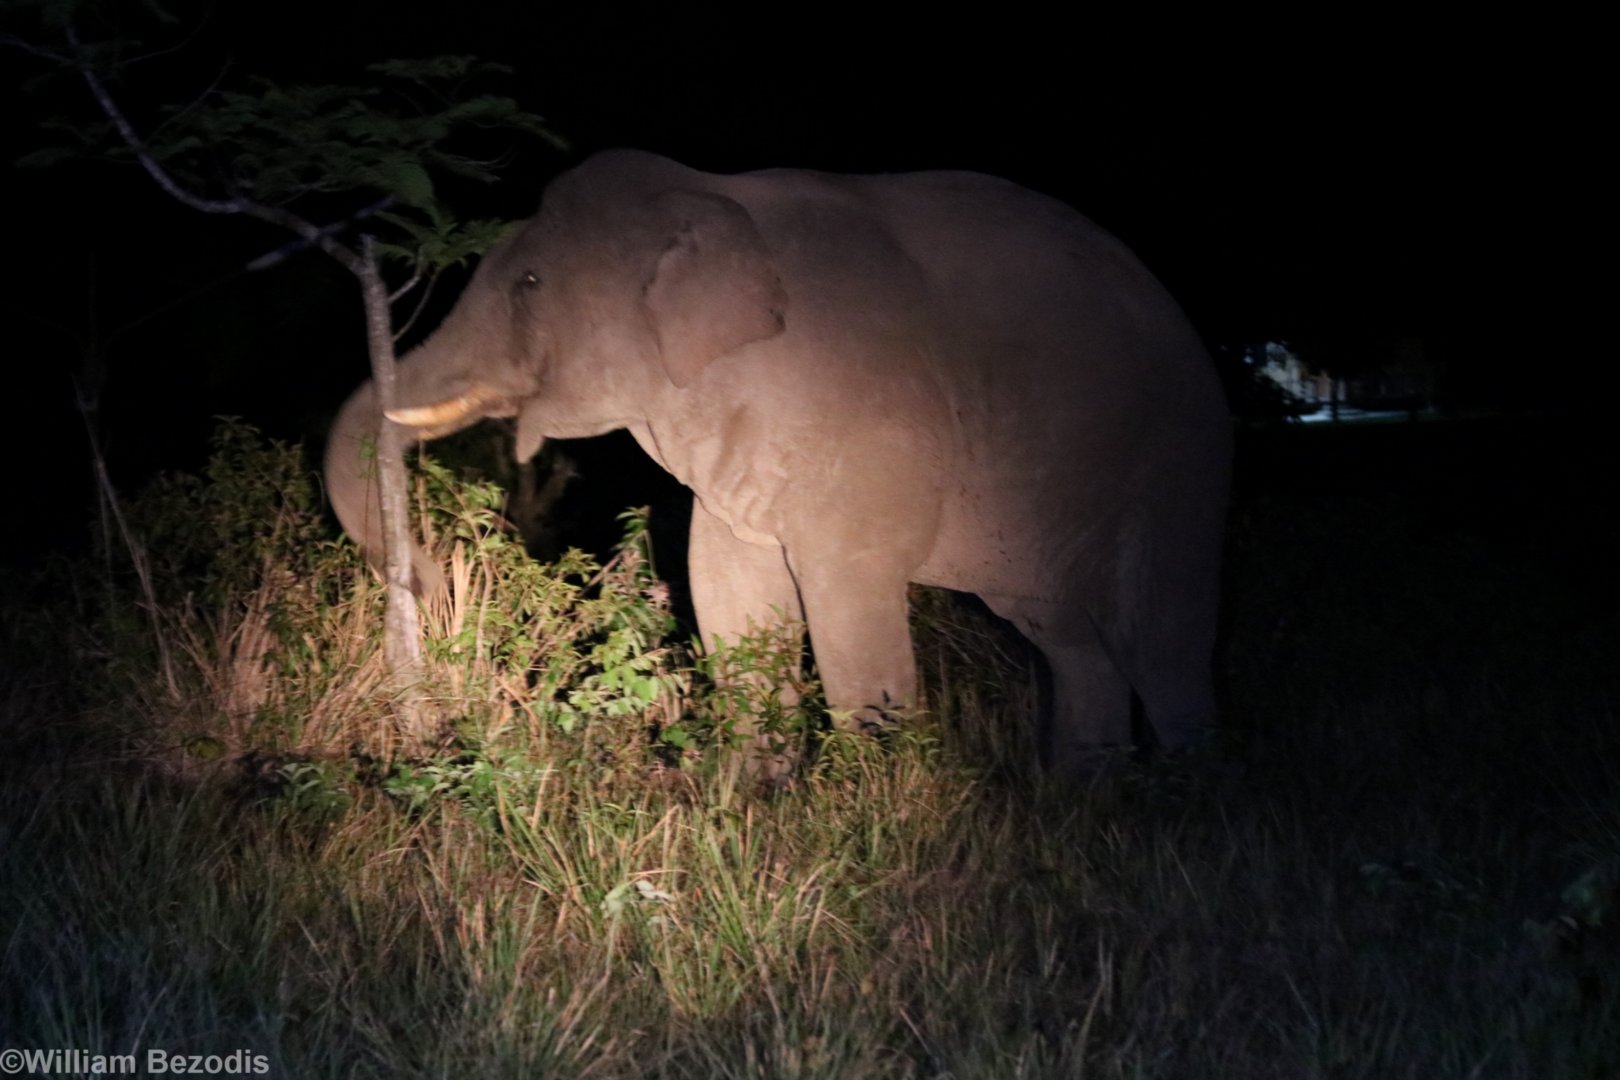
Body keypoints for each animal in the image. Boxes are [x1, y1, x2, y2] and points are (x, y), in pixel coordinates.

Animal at [325, 149, 1231, 776]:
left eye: (531, 283)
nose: (428, 578)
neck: (708, 199)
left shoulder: (865, 413)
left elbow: (846, 601)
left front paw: (876, 807)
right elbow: (725, 581)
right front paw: (757, 793)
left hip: (1173, 459)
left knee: (1161, 630)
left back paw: (1187, 801)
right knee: (1066, 636)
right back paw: (1085, 794)